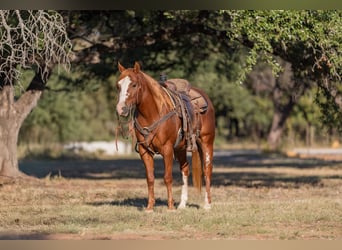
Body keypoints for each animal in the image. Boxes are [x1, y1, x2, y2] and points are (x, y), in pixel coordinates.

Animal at [116, 62, 215, 211]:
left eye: (133, 84)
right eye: (118, 85)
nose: (121, 109)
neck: (152, 113)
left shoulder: (167, 149)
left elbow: (167, 177)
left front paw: (170, 207)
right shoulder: (145, 151)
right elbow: (150, 178)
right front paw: (150, 207)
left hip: (207, 142)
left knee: (207, 170)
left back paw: (207, 204)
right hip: (180, 148)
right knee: (185, 169)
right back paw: (182, 204)